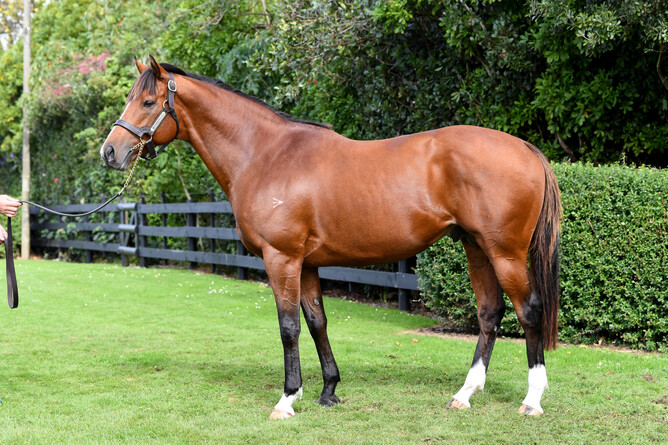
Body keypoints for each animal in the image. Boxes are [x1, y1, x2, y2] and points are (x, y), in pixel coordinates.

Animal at [101, 56, 561, 419]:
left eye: (147, 102)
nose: (110, 152)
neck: (264, 154)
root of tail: (525, 148)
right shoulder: (307, 264)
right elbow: (316, 322)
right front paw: (327, 391)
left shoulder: (281, 258)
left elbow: (288, 326)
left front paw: (287, 399)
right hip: (475, 247)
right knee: (489, 313)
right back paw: (464, 394)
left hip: (504, 252)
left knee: (529, 311)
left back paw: (532, 400)